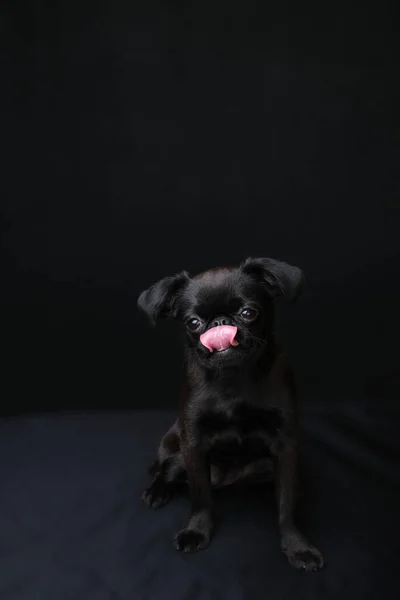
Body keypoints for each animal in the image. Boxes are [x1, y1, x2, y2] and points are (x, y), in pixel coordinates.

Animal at [137, 258, 322, 572]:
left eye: (249, 313)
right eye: (193, 323)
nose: (220, 323)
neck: (233, 378)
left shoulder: (286, 446)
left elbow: (287, 503)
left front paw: (298, 546)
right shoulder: (193, 443)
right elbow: (200, 497)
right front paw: (196, 531)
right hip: (176, 450)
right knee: (167, 471)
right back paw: (157, 491)